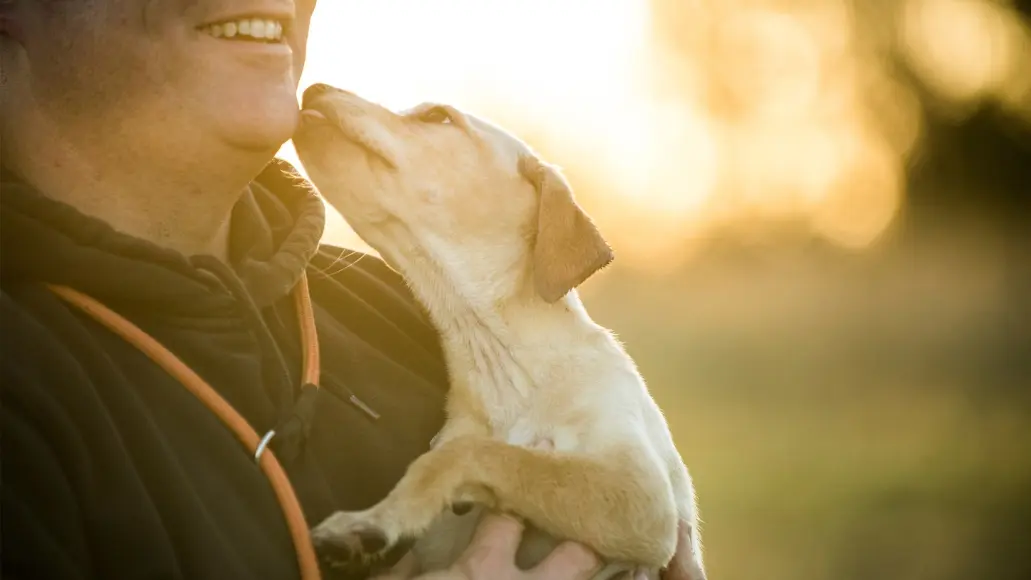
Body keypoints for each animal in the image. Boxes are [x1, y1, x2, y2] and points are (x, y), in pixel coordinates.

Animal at [294, 82, 705, 580]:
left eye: (437, 116)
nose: (315, 87)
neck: (500, 359)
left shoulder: (640, 497)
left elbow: (477, 454)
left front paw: (372, 521)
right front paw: (376, 520)